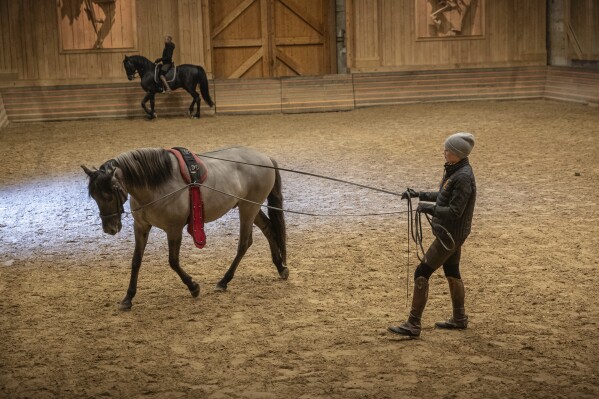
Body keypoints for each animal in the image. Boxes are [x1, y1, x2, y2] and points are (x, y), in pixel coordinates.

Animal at [82, 147, 288, 312]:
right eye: (94, 196)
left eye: (110, 194)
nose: (109, 228)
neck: (158, 183)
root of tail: (266, 158)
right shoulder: (141, 227)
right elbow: (136, 262)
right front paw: (128, 298)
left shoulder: (174, 229)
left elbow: (173, 261)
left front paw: (193, 287)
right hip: (250, 207)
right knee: (269, 230)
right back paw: (280, 268)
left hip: (248, 208)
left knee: (244, 243)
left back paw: (223, 281)